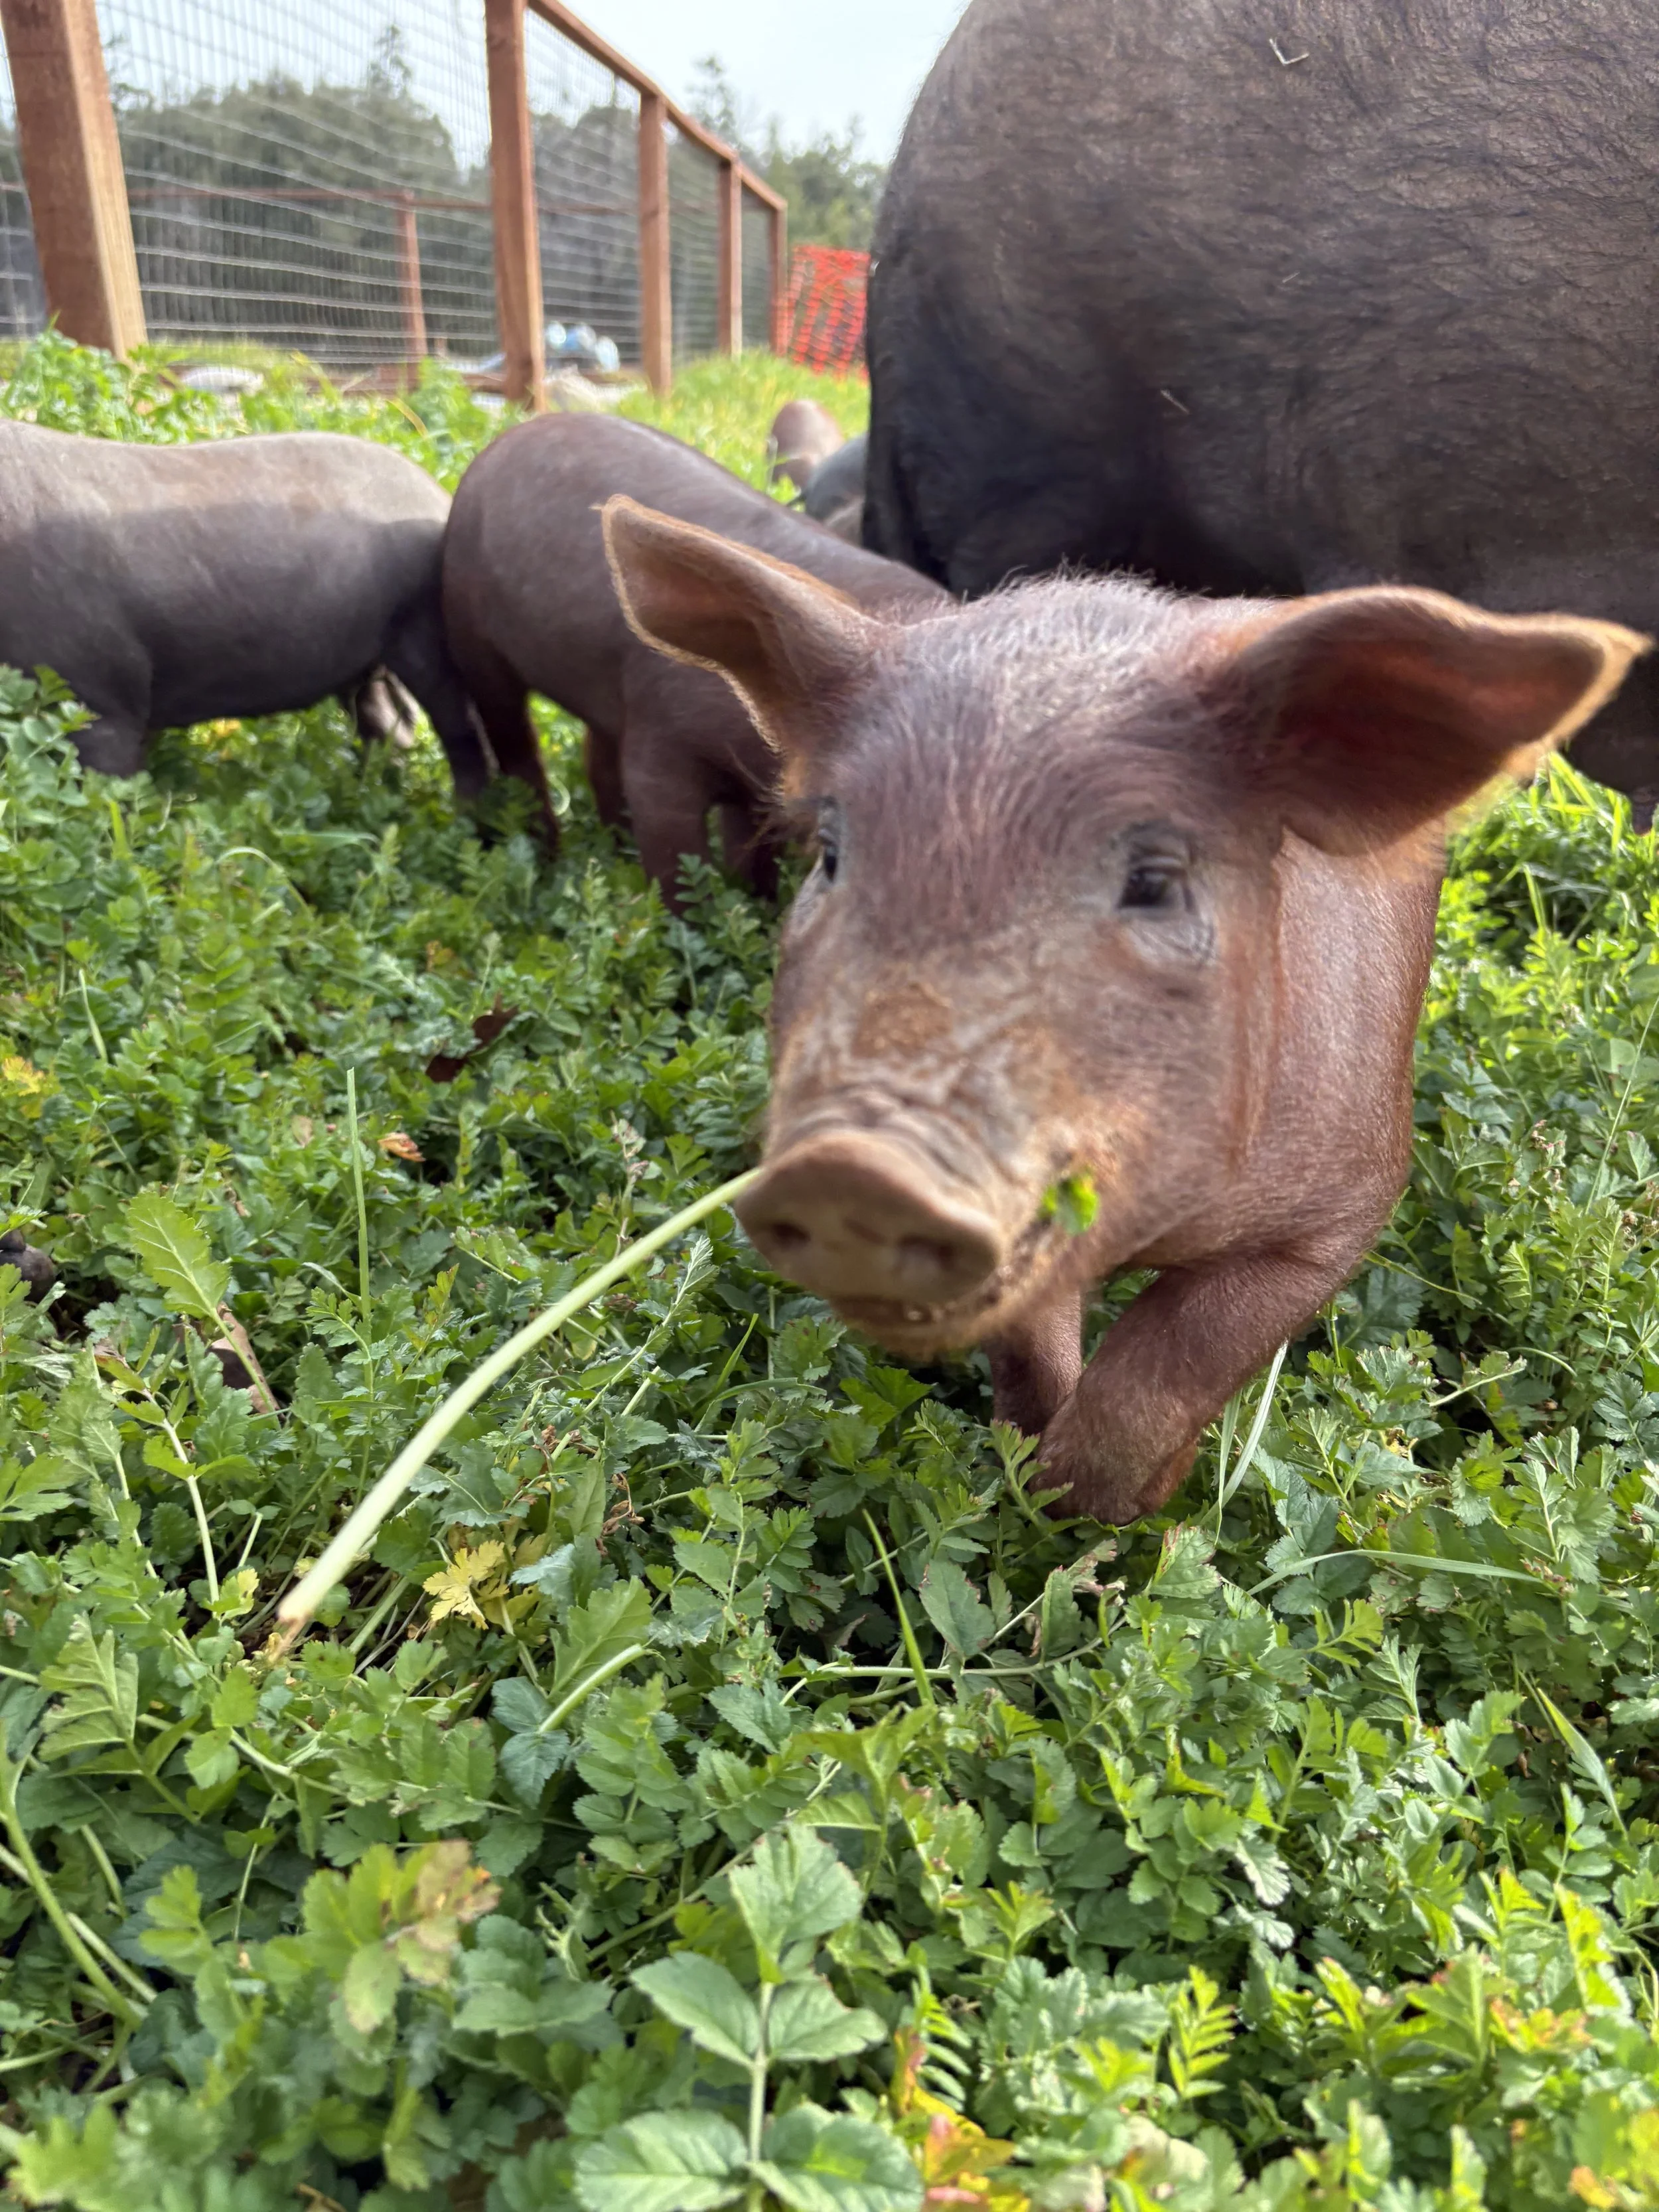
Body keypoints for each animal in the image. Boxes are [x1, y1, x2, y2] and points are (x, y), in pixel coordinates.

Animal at [0, 423, 488, 803]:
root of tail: (439, 494)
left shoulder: (97, 696)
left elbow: (102, 790)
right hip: (372, 656)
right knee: (388, 723)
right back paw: (370, 794)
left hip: (427, 631)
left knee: (464, 728)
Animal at [440, 413, 948, 903]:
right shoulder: (660, 731)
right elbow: (674, 852)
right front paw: (684, 918)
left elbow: (747, 849)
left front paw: (752, 902)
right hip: (470, 628)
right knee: (514, 743)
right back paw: (547, 856)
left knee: (596, 753)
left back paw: (616, 847)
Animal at [603, 494, 1643, 1523]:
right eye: (830, 854)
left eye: (1153, 882)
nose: (852, 1170)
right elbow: (1033, 1346)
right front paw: (1029, 1473)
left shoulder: (1344, 1204)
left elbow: (1177, 1357)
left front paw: (1109, 1511)